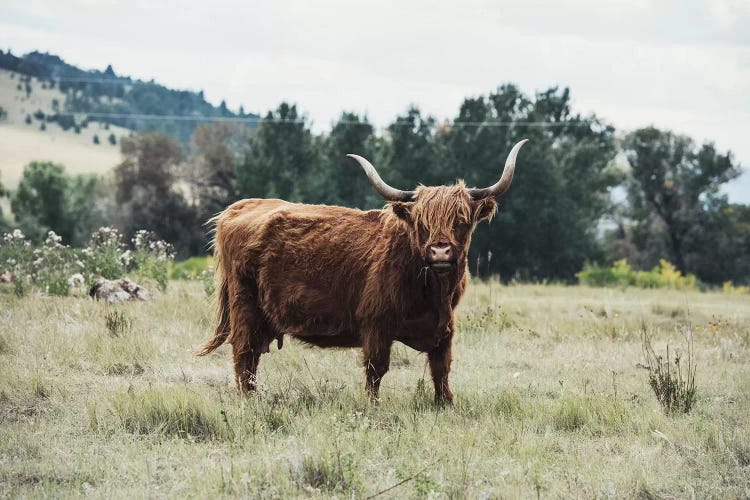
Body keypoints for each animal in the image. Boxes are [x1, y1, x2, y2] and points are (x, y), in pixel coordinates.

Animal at [198, 139, 528, 404]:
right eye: (422, 223)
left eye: (461, 221)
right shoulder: (376, 324)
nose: (440, 252)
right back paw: (249, 401)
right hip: (245, 307)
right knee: (244, 355)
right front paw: (372, 407)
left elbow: (441, 369)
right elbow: (376, 370)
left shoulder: (445, 328)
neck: (433, 292)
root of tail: (238, 208)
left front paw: (445, 405)